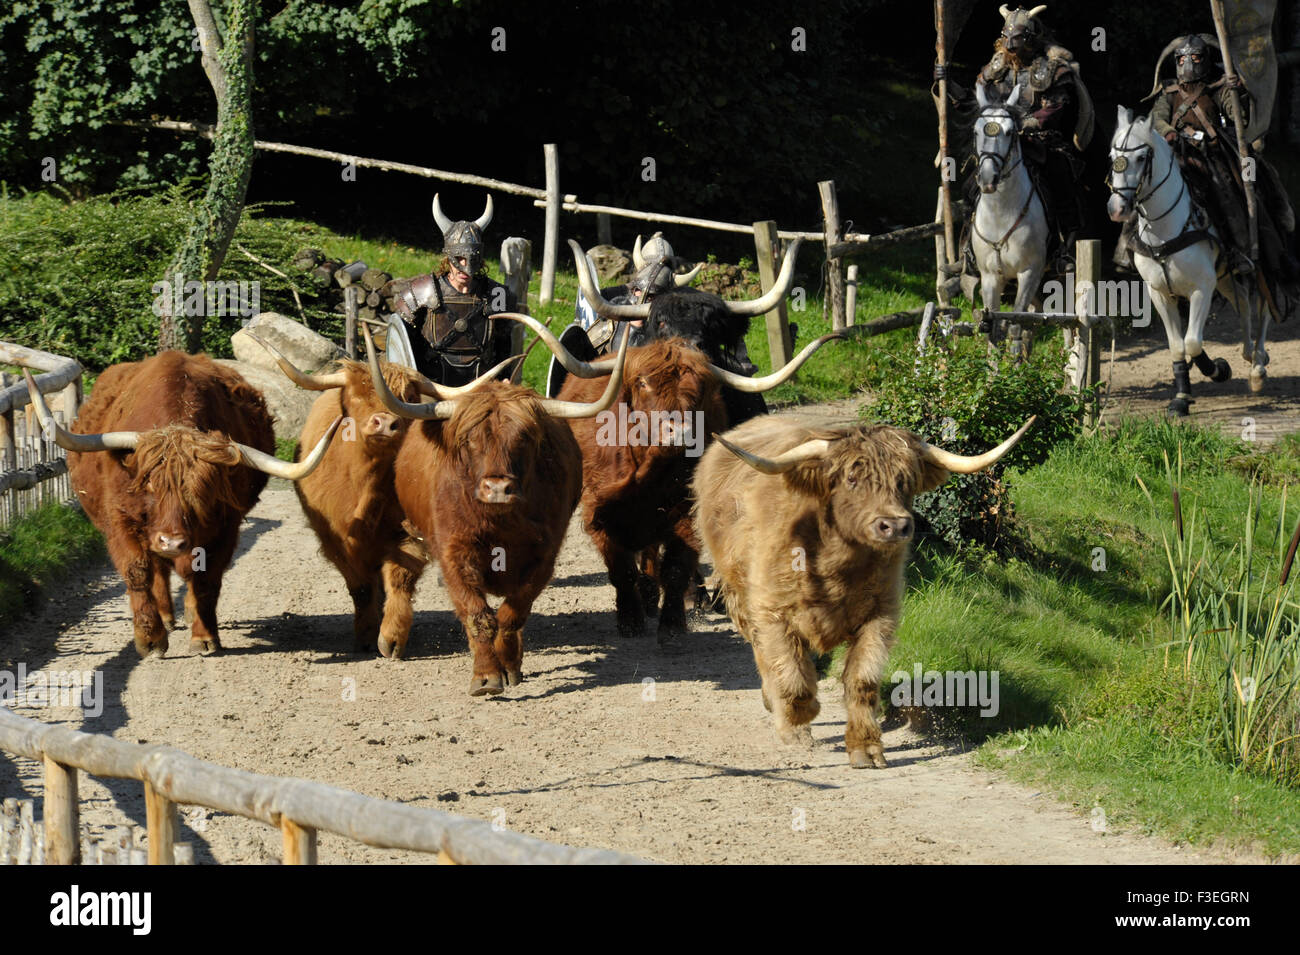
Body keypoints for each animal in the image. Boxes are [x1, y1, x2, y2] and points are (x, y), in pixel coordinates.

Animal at [972, 79, 1050, 358]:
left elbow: (1016, 325)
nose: (988, 179)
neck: (1001, 216)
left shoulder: (1029, 273)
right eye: (976, 132)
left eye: (1009, 133)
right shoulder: (990, 277)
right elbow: (994, 330)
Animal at [1102, 108, 1263, 415]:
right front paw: (1181, 396)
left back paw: (1258, 363)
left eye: (1141, 158)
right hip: (1223, 277)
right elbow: (1177, 345)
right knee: (1243, 301)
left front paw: (1218, 369)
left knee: (1259, 306)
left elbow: (1192, 342)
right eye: (1112, 155)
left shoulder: (1202, 288)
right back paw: (1251, 356)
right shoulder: (1160, 293)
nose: (1116, 209)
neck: (1165, 227)